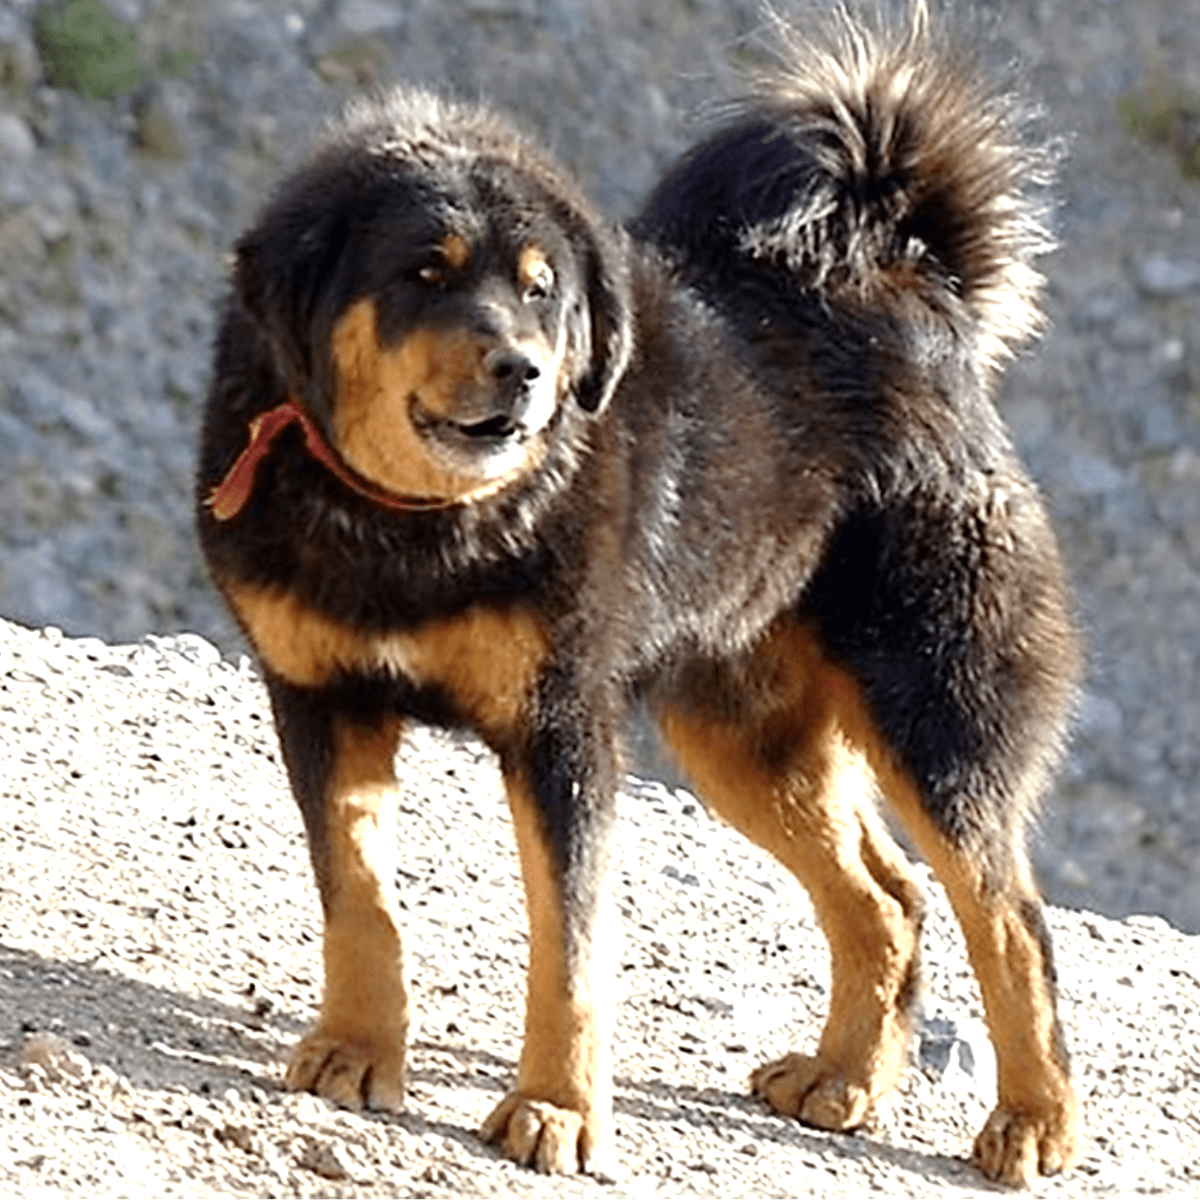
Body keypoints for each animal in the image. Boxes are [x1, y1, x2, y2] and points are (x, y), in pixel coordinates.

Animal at [194, 2, 1080, 1190]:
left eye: (540, 289)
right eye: (424, 272)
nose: (524, 370)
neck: (415, 527)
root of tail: (909, 293)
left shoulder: (562, 729)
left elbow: (569, 947)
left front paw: (557, 1111)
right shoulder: (322, 702)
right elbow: (362, 903)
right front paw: (356, 1051)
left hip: (935, 718)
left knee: (1010, 919)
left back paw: (1034, 1121)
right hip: (743, 738)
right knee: (889, 899)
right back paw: (843, 1081)